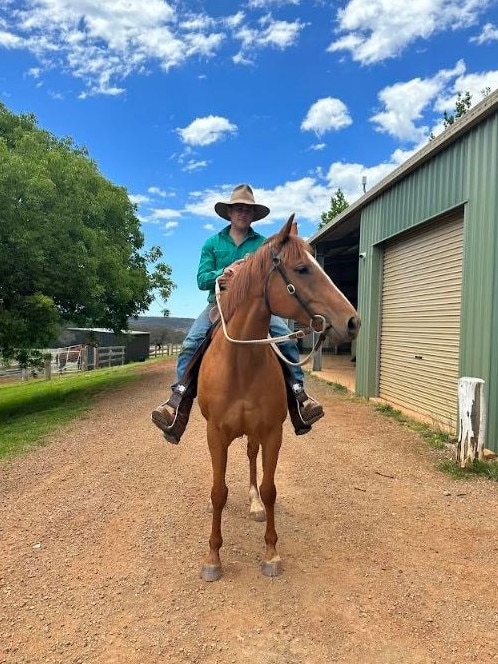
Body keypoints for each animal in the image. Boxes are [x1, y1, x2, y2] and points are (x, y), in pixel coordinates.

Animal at [196, 215, 360, 580]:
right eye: (302, 269)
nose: (353, 321)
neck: (241, 363)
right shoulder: (215, 434)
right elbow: (218, 492)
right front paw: (213, 558)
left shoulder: (272, 431)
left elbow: (270, 489)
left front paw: (271, 554)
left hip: (255, 432)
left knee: (252, 459)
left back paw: (254, 503)